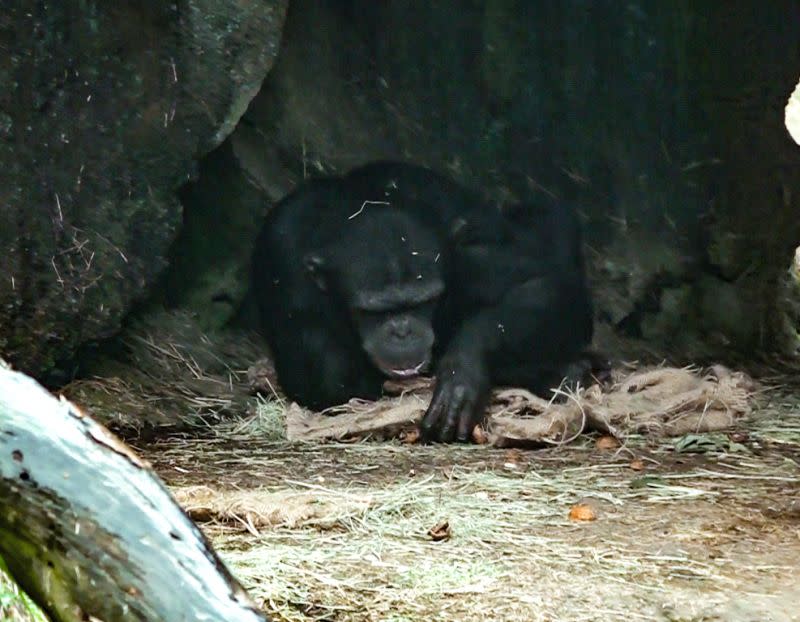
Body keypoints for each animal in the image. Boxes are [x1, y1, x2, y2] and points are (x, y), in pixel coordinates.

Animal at [250, 162, 592, 444]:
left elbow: (546, 285)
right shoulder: (283, 255)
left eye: (424, 302)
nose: (402, 331)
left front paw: (462, 368)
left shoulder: (460, 259)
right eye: (373, 311)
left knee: (550, 217)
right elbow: (323, 380)